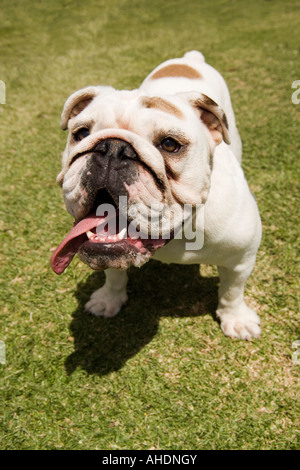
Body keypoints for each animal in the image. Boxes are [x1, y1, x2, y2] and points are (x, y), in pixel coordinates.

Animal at [50, 50, 262, 338]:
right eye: (80, 133)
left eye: (170, 144)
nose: (112, 148)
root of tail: (190, 58)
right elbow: (113, 275)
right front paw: (109, 299)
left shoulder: (241, 259)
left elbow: (232, 291)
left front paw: (236, 318)